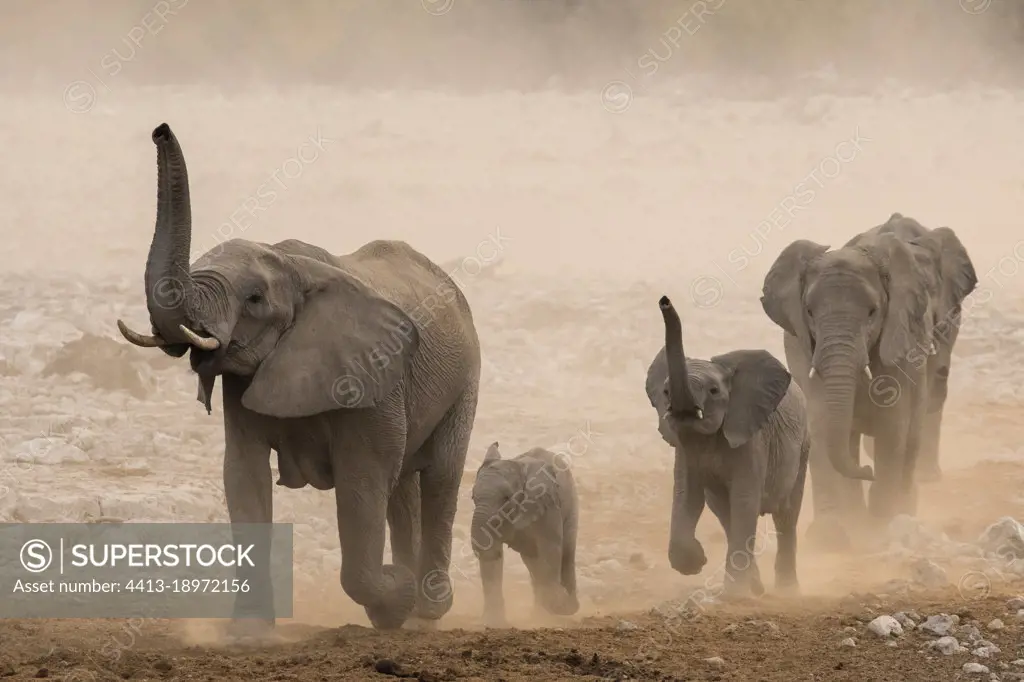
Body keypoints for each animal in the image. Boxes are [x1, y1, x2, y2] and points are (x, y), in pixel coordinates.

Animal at [116, 123, 483, 630]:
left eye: (254, 299)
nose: (160, 129)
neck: (291, 265)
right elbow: (243, 476)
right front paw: (250, 633)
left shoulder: (369, 373)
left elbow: (363, 479)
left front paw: (394, 595)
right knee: (403, 489)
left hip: (466, 376)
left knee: (440, 478)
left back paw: (426, 609)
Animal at [468, 440, 581, 626]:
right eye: (473, 498)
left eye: (506, 498)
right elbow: (491, 555)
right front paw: (492, 623)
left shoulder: (547, 505)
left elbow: (551, 550)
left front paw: (560, 604)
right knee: (532, 561)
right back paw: (541, 613)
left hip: (571, 502)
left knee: (566, 552)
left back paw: (564, 607)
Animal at [647, 294, 806, 593]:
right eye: (665, 392)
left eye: (713, 391)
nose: (664, 301)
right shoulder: (685, 448)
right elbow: (687, 495)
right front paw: (696, 560)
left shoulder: (751, 440)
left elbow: (744, 499)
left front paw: (734, 595)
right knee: (724, 514)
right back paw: (757, 588)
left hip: (804, 448)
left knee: (786, 515)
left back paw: (786, 592)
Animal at [761, 212, 974, 548]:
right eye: (809, 312)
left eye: (873, 312)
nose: (865, 470)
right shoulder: (801, 345)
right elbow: (821, 423)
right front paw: (830, 534)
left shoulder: (902, 334)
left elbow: (892, 421)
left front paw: (877, 527)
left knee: (917, 420)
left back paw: (903, 507)